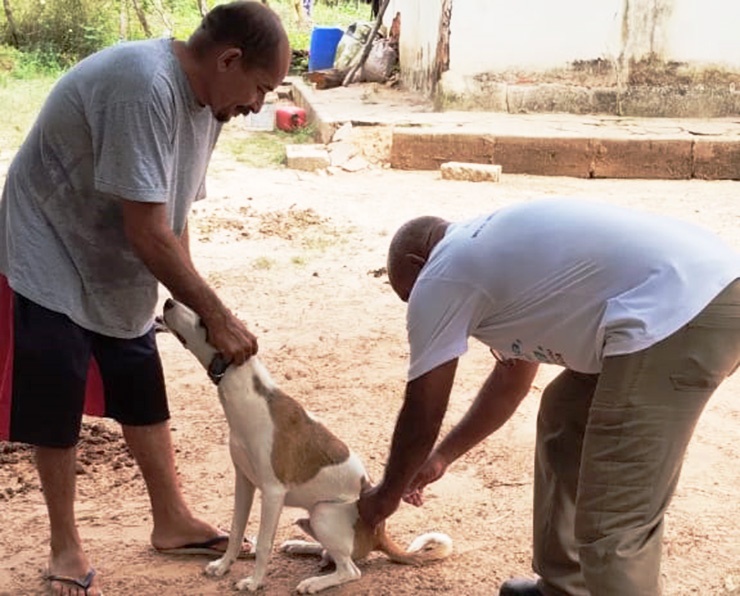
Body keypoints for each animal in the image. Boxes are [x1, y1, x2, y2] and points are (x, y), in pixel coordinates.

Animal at [161, 300, 450, 592]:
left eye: (203, 320)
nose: (168, 302)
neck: (251, 397)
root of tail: (379, 533)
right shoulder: (244, 481)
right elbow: (235, 531)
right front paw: (223, 566)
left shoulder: (272, 492)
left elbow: (263, 545)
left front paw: (254, 582)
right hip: (310, 518)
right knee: (331, 553)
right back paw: (302, 546)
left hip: (323, 513)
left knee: (350, 569)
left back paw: (314, 583)